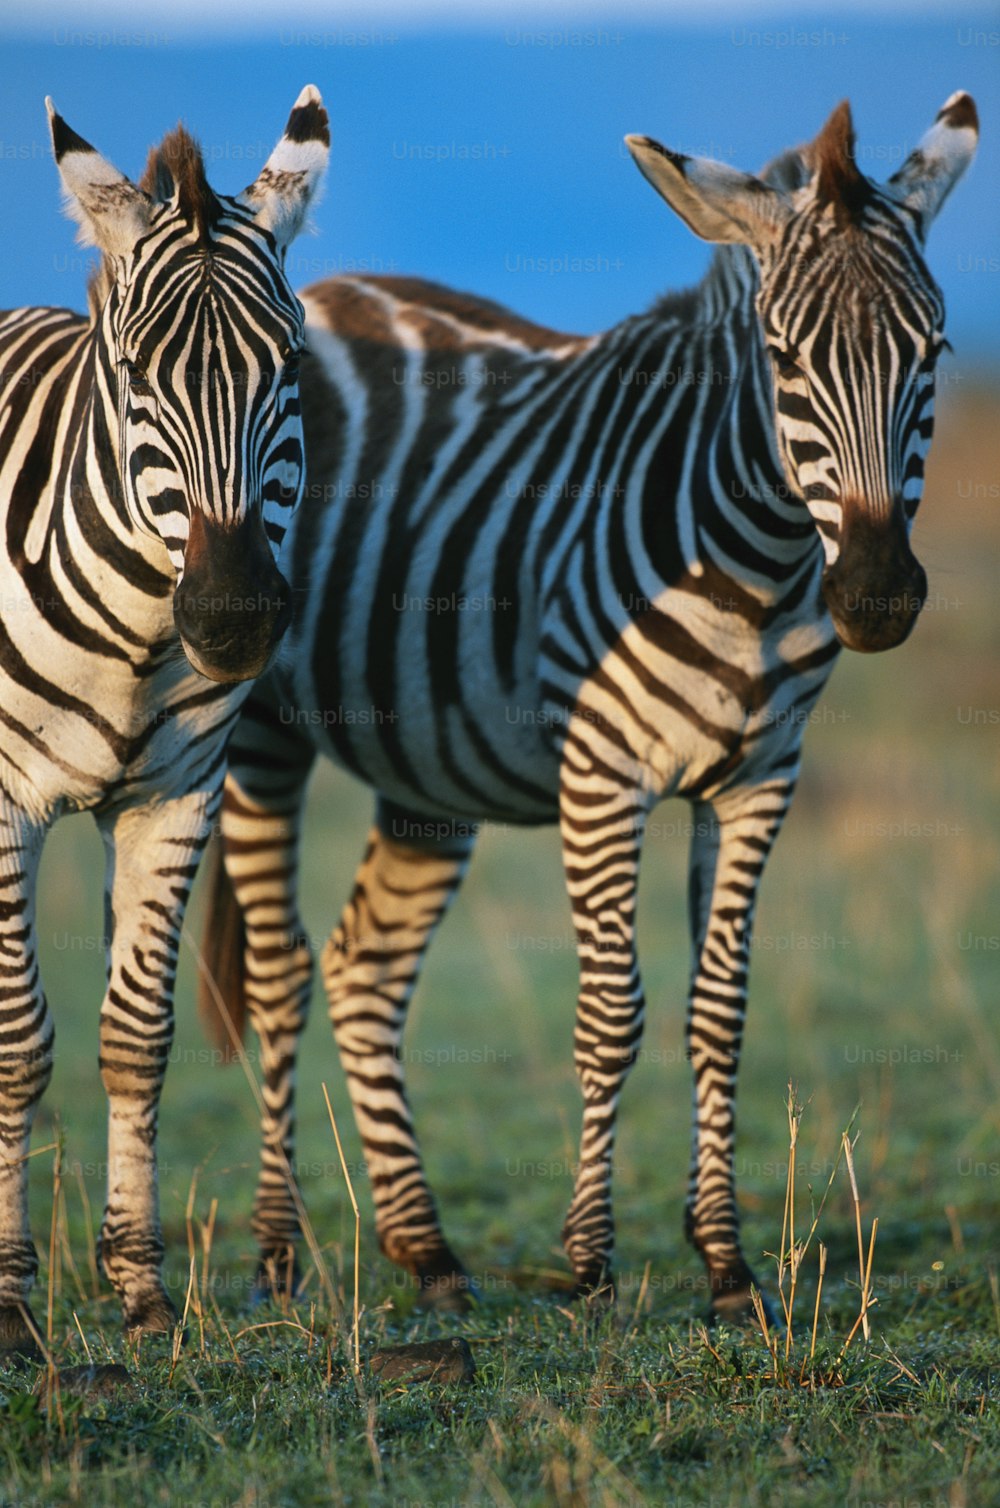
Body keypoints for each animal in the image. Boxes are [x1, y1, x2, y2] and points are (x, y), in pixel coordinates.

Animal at [0, 85, 330, 1357]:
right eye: (136, 371)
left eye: (291, 362)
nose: (231, 619)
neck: (140, 638)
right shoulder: (5, 801)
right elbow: (19, 1038)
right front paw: (9, 1296)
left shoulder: (176, 794)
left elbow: (136, 1037)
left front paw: (138, 1288)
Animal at [197, 94, 977, 1321]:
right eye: (784, 357)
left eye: (932, 353)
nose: (878, 596)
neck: (760, 568)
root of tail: (321, 289)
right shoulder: (604, 773)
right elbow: (613, 1014)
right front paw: (592, 1263)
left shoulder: (760, 778)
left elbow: (719, 1013)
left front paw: (727, 1266)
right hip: (265, 730)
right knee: (282, 975)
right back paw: (279, 1256)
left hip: (426, 761)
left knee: (367, 966)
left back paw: (426, 1249)